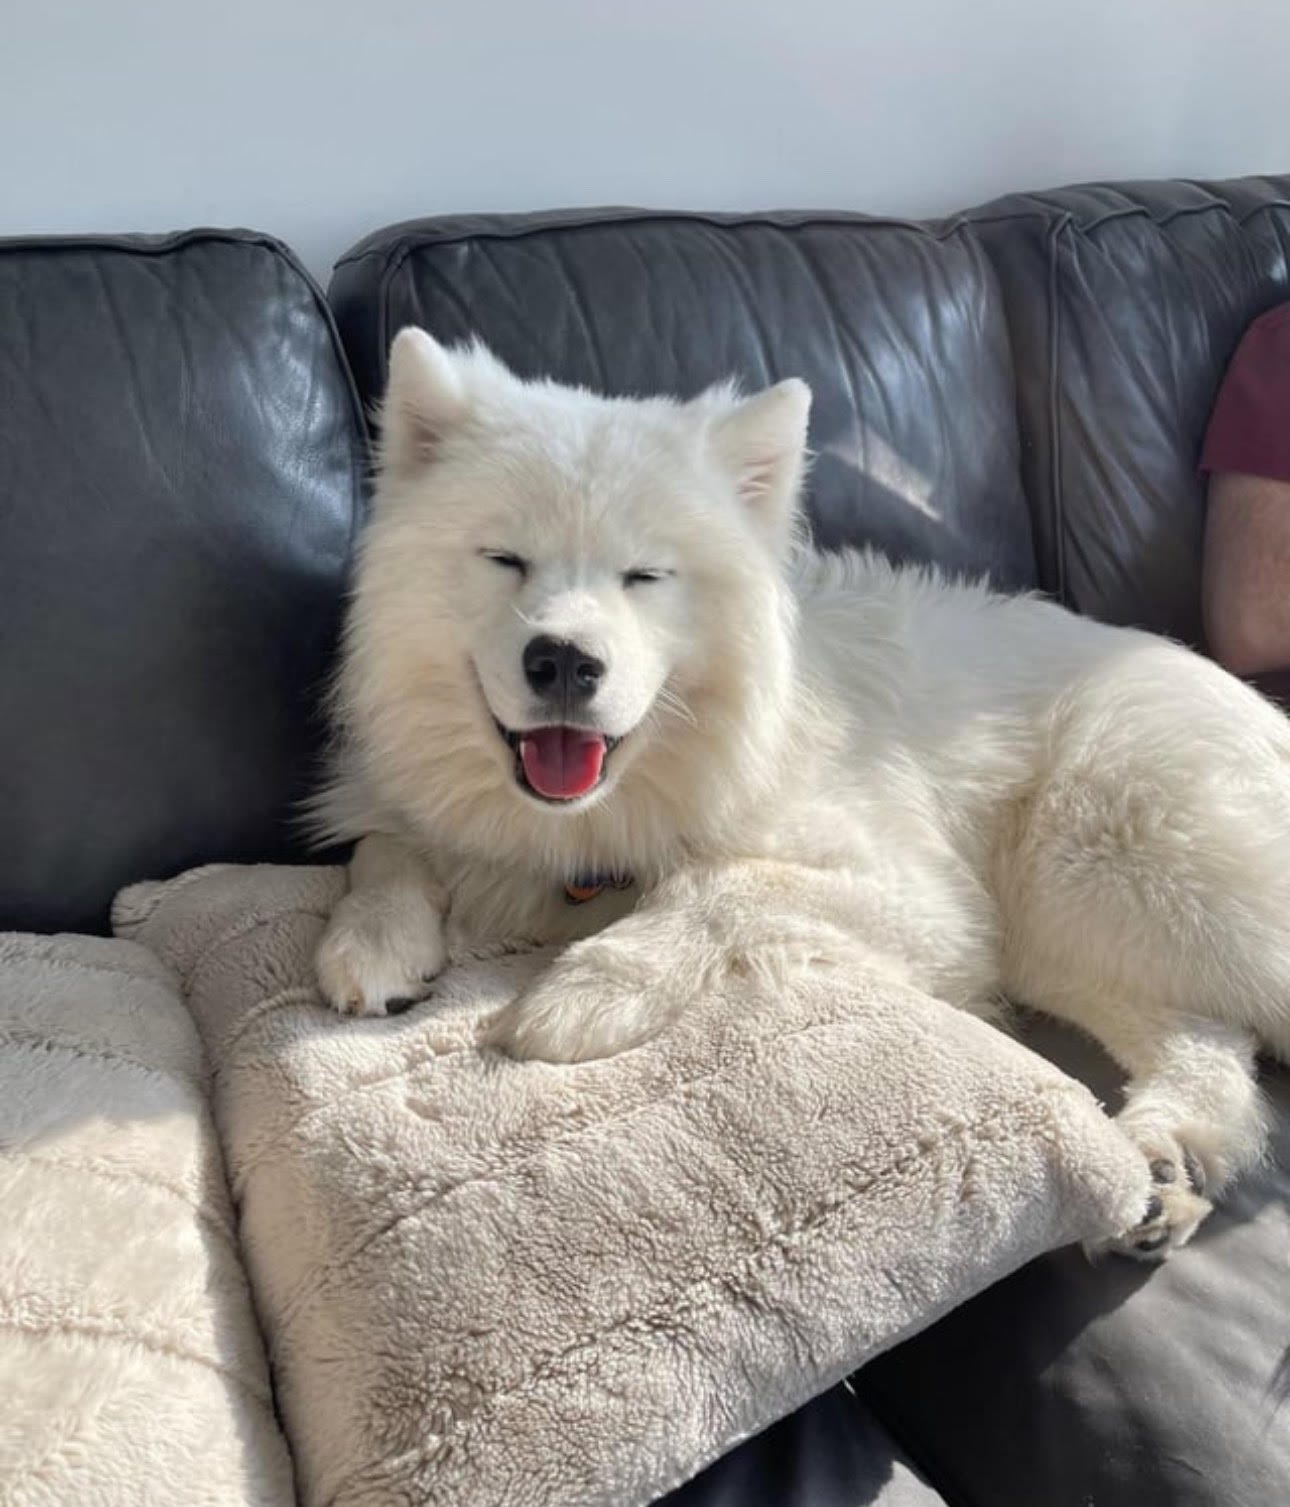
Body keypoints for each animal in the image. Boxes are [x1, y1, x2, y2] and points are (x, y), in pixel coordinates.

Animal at [314, 326, 1290, 1258]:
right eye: (504, 558)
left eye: (645, 575)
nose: (561, 660)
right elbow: (383, 845)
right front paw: (374, 941)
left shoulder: (926, 903)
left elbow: (714, 883)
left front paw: (585, 992)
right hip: (1074, 927)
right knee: (1209, 1041)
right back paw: (1164, 1170)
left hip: (1092, 859)